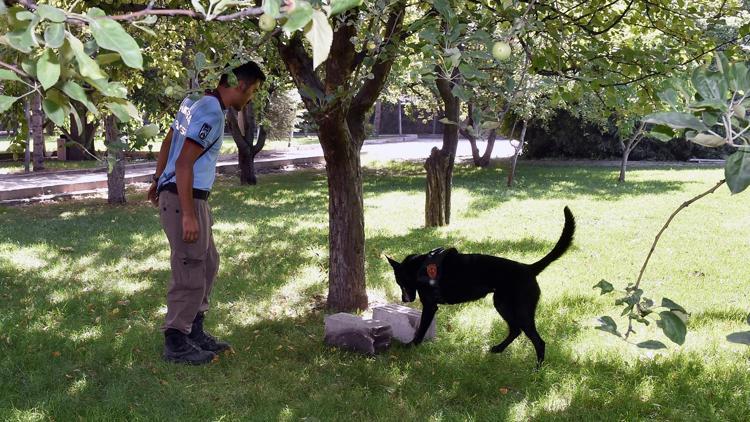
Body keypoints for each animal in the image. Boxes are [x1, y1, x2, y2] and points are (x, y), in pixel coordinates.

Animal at [388, 206, 576, 364]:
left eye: (400, 281)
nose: (404, 300)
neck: (418, 267)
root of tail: (529, 268)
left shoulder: (430, 306)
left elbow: (421, 329)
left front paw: (411, 345)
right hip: (502, 304)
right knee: (515, 330)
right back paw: (498, 349)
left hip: (521, 310)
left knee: (538, 341)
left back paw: (537, 369)